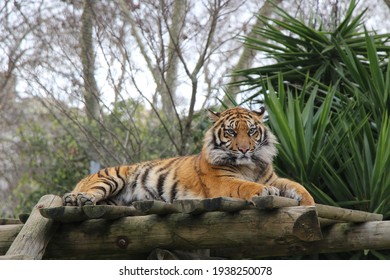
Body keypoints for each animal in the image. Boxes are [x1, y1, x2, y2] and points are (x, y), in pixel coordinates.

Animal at [62, 106, 316, 207]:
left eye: (251, 131)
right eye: (232, 132)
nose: (244, 149)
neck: (249, 165)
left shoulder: (274, 178)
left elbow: (298, 186)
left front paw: (310, 203)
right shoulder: (221, 182)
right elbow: (245, 186)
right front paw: (263, 191)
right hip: (111, 177)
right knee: (88, 192)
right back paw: (79, 198)